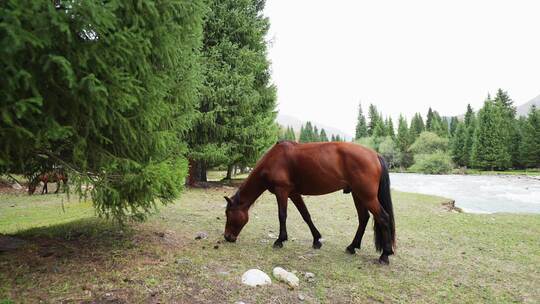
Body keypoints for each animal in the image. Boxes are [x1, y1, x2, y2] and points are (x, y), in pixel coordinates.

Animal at [224, 140, 396, 264]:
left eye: (228, 214)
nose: (227, 237)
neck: (273, 160)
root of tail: (375, 155)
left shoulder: (282, 191)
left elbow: (282, 215)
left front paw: (280, 240)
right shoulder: (294, 194)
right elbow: (305, 215)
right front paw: (316, 240)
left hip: (367, 196)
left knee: (383, 218)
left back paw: (385, 255)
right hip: (358, 195)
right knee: (363, 218)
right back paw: (352, 247)